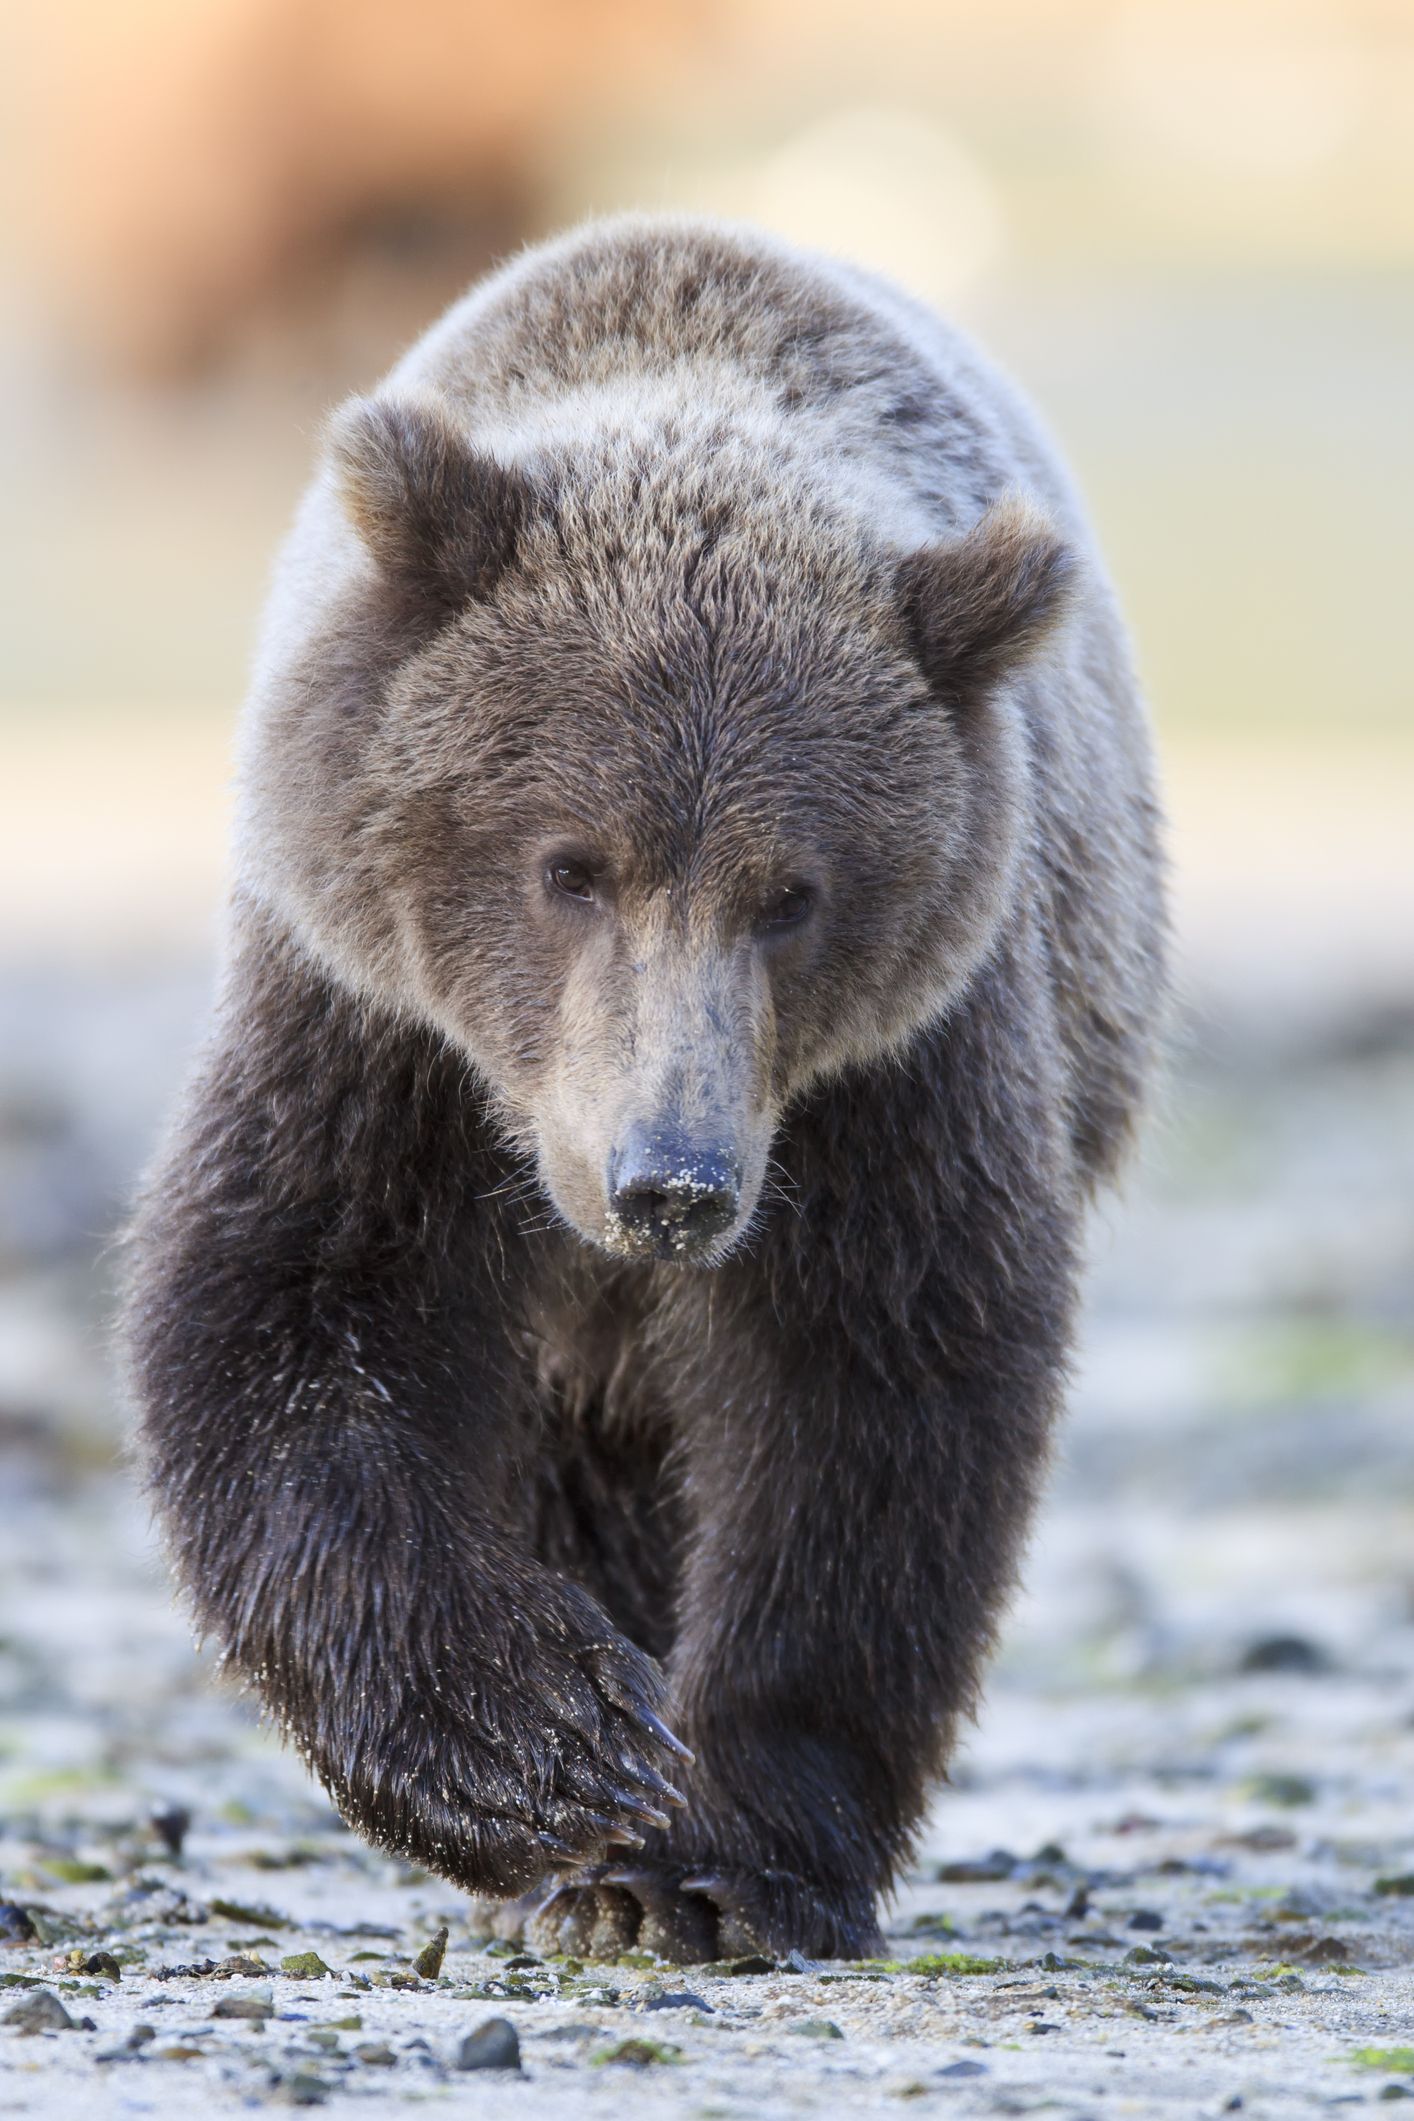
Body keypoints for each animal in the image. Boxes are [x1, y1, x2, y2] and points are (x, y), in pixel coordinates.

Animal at [123, 213, 1166, 1963]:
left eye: (791, 892)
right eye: (569, 863)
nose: (669, 1181)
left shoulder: (894, 1074)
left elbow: (868, 1400)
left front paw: (717, 1856)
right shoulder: (369, 1028)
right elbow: (290, 1321)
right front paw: (545, 1749)